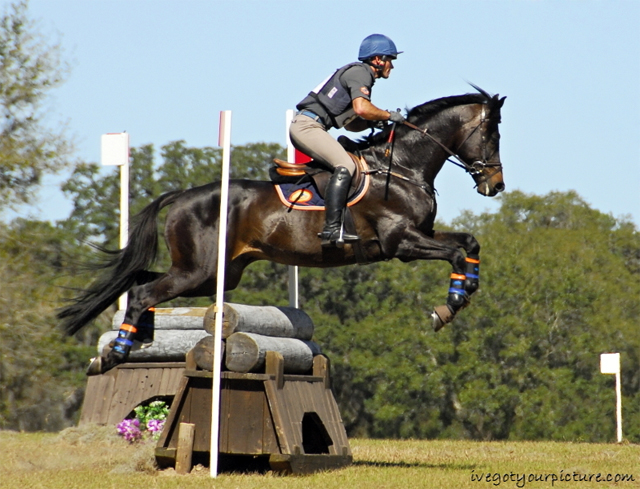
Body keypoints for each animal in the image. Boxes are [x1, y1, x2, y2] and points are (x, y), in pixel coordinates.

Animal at [61, 86, 510, 374]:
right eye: (492, 134)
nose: (496, 185)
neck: (399, 166)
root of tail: (184, 195)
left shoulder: (421, 234)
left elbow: (468, 244)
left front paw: (462, 293)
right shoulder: (400, 242)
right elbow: (455, 252)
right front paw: (448, 306)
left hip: (213, 274)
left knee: (140, 282)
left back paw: (136, 339)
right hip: (200, 271)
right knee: (142, 291)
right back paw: (114, 354)